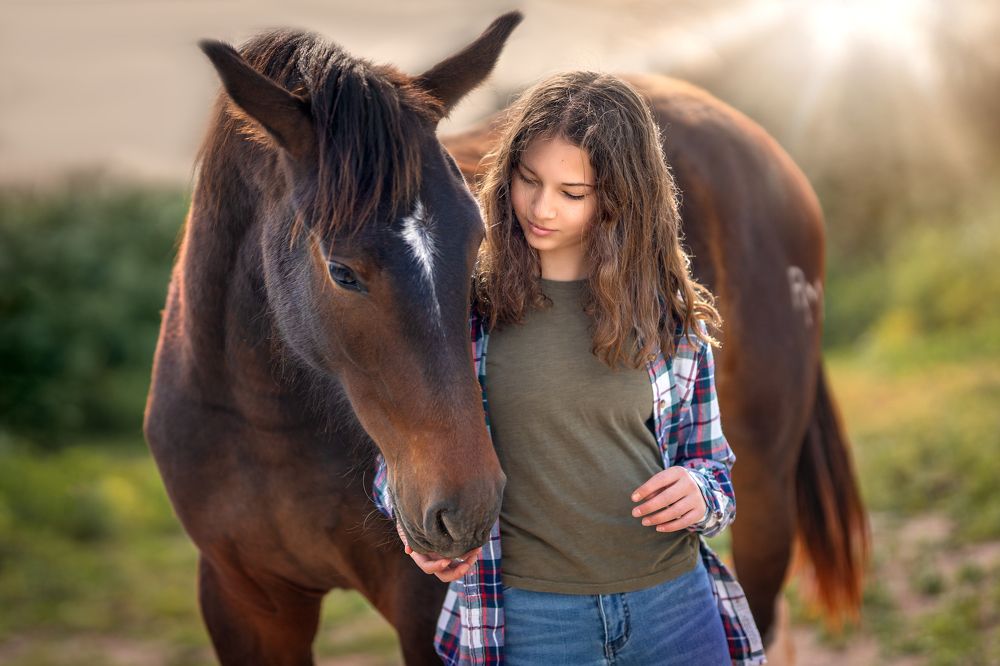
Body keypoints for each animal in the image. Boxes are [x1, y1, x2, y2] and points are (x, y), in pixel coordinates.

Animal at [145, 13, 522, 665]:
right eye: (342, 272)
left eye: (478, 240)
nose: (470, 508)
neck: (268, 426)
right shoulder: (243, 602)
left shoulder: (425, 612)